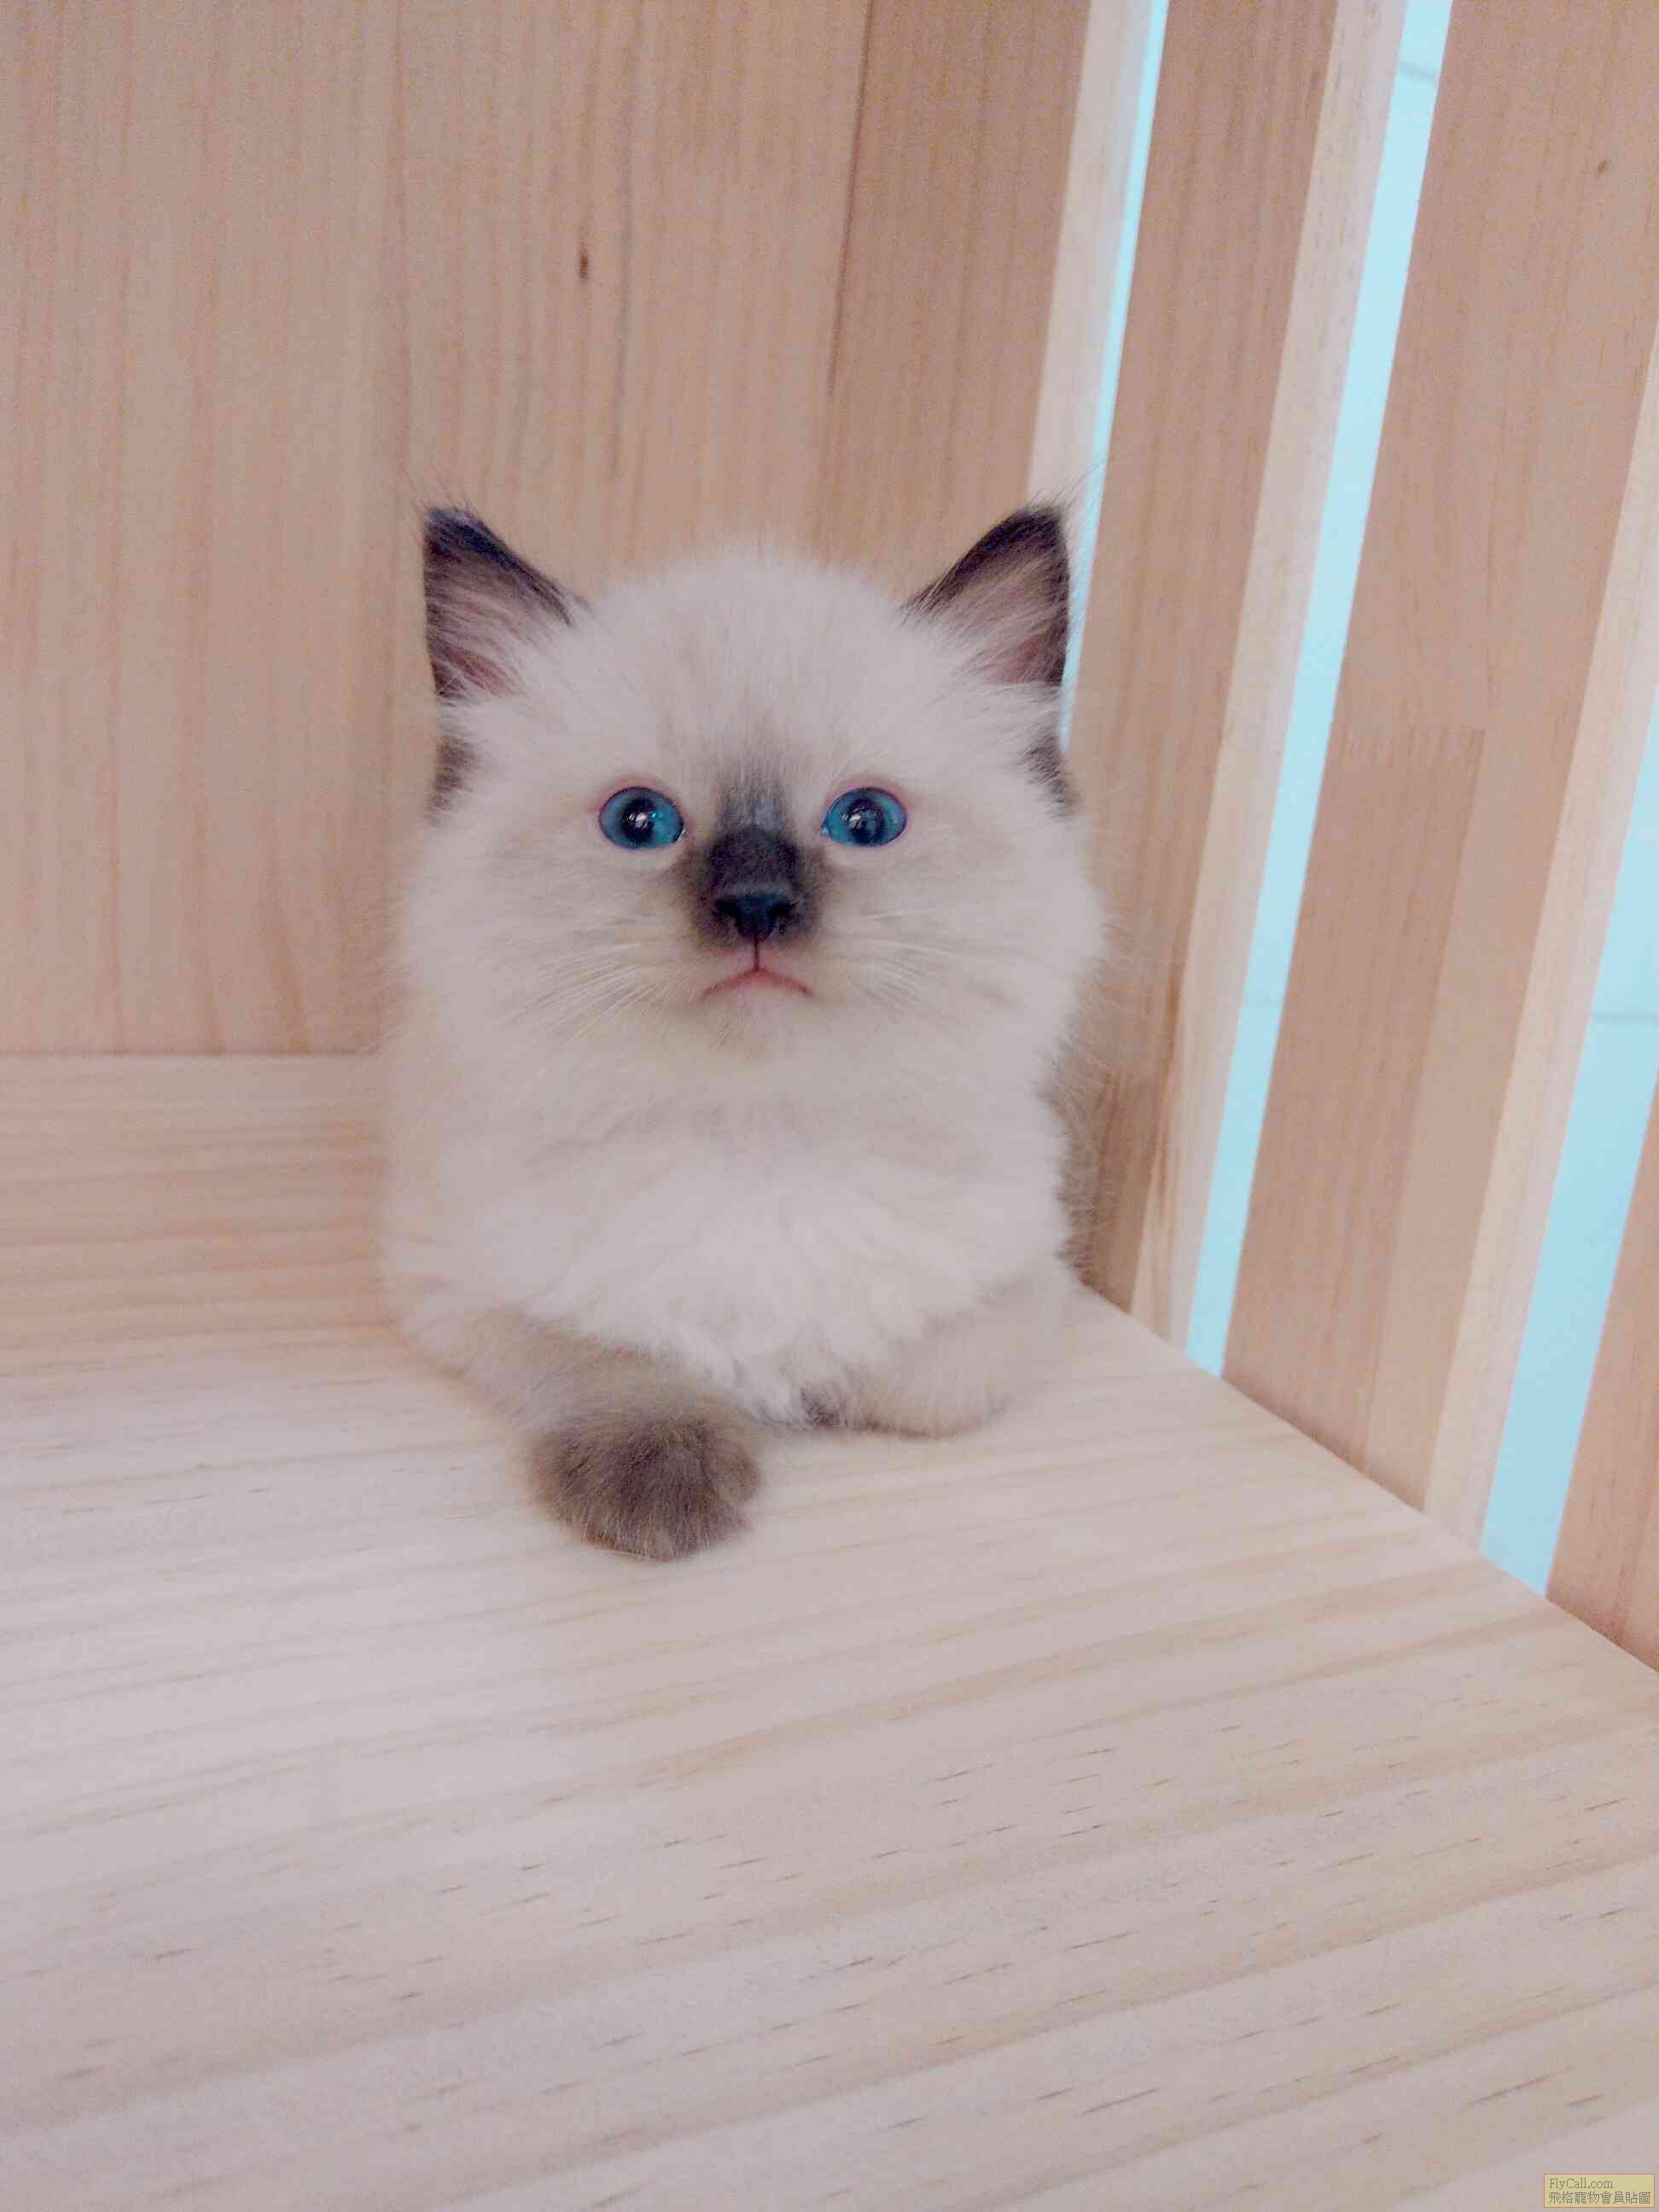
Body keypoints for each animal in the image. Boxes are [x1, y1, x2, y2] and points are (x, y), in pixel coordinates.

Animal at [383, 505, 1105, 1559]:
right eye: (640, 822)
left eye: (866, 820)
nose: (756, 904)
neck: (762, 1138)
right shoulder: (461, 1285)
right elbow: (614, 1357)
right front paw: (667, 1476)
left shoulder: (1029, 1284)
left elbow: (920, 1376)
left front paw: (818, 1390)